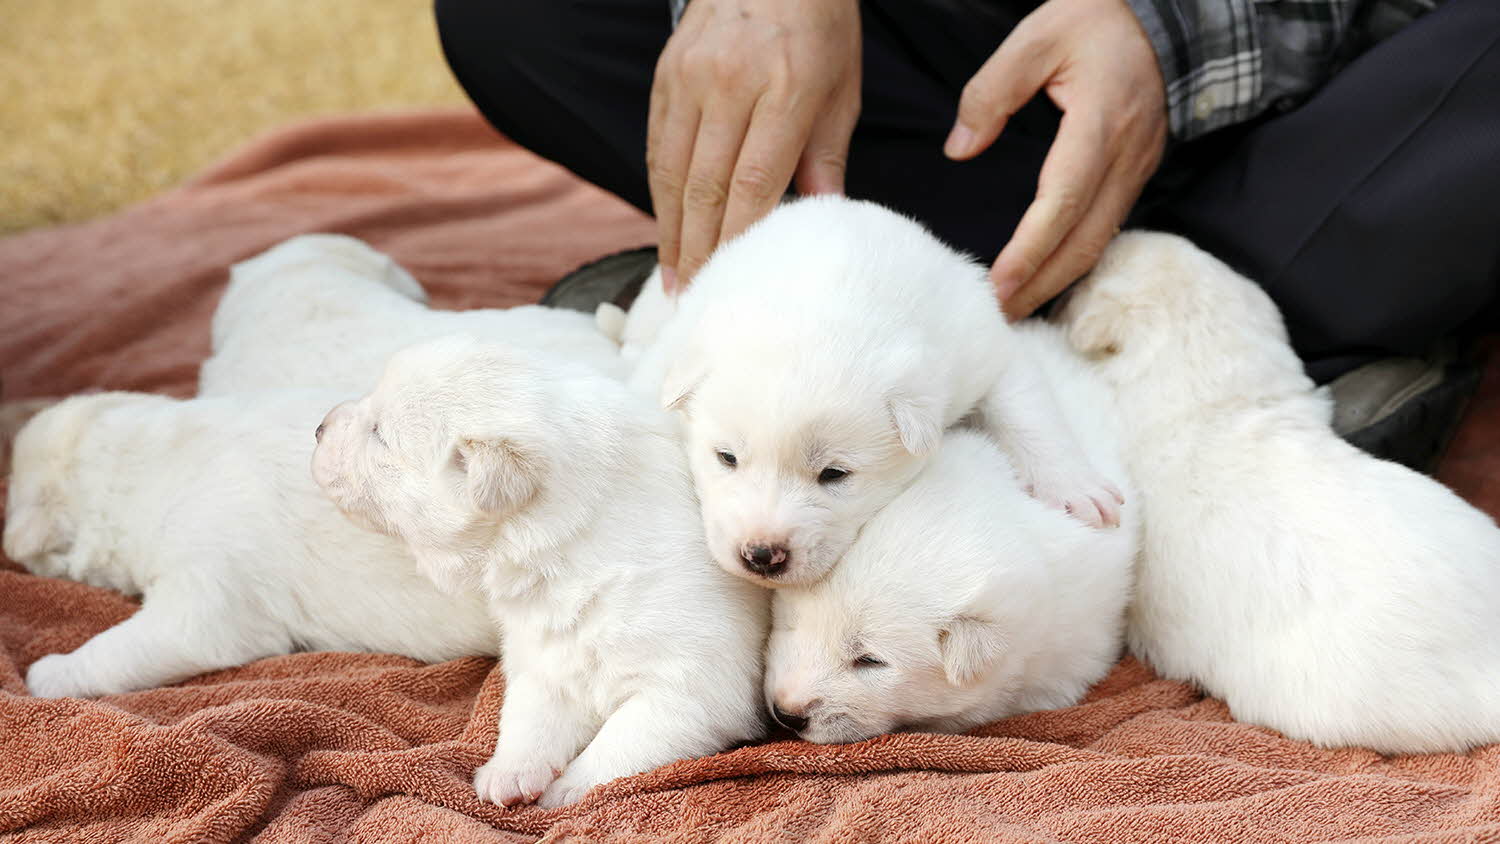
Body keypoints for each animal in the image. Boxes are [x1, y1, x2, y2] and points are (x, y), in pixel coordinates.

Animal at [312, 334, 768, 809]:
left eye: (380, 434)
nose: (319, 427)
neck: (570, 562)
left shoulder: (692, 688)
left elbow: (622, 741)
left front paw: (570, 788)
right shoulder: (539, 659)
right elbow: (528, 717)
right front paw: (508, 772)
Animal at [624, 197, 1128, 593]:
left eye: (834, 474)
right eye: (726, 458)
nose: (762, 555)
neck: (825, 303)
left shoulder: (984, 349)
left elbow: (1028, 411)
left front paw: (1075, 488)